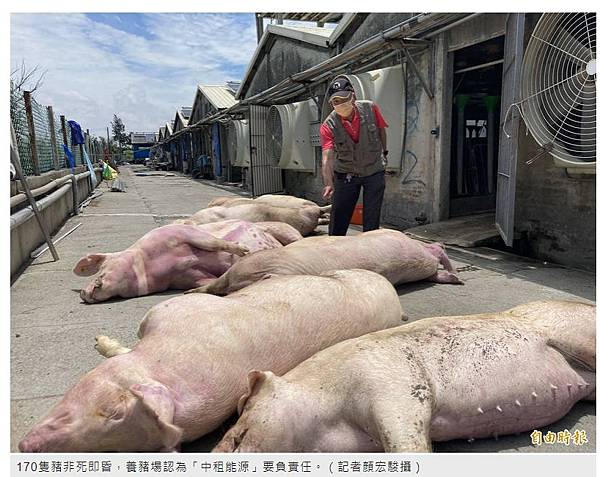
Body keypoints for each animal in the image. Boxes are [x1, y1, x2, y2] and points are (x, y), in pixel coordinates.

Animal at [74, 218, 300, 302]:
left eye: (101, 267)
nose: (83, 293)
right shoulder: (188, 276)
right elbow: (208, 281)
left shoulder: (182, 233)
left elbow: (214, 243)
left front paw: (243, 250)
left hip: (281, 228)